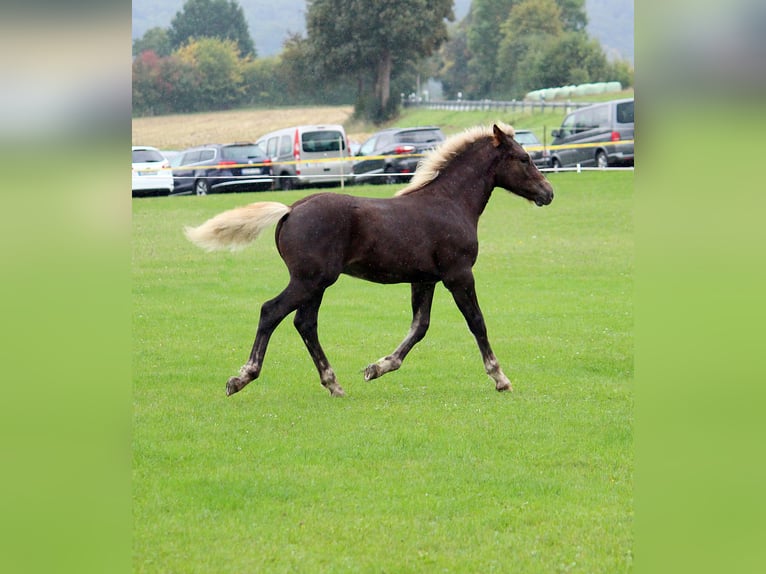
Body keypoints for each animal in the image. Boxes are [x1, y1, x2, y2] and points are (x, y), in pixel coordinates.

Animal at [185, 123, 554, 397]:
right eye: (523, 158)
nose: (548, 193)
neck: (450, 202)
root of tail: (290, 209)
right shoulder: (458, 274)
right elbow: (476, 321)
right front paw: (500, 377)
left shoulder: (425, 278)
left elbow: (419, 327)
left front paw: (377, 368)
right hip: (309, 280)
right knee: (271, 311)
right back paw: (242, 378)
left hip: (315, 283)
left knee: (305, 323)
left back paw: (333, 383)